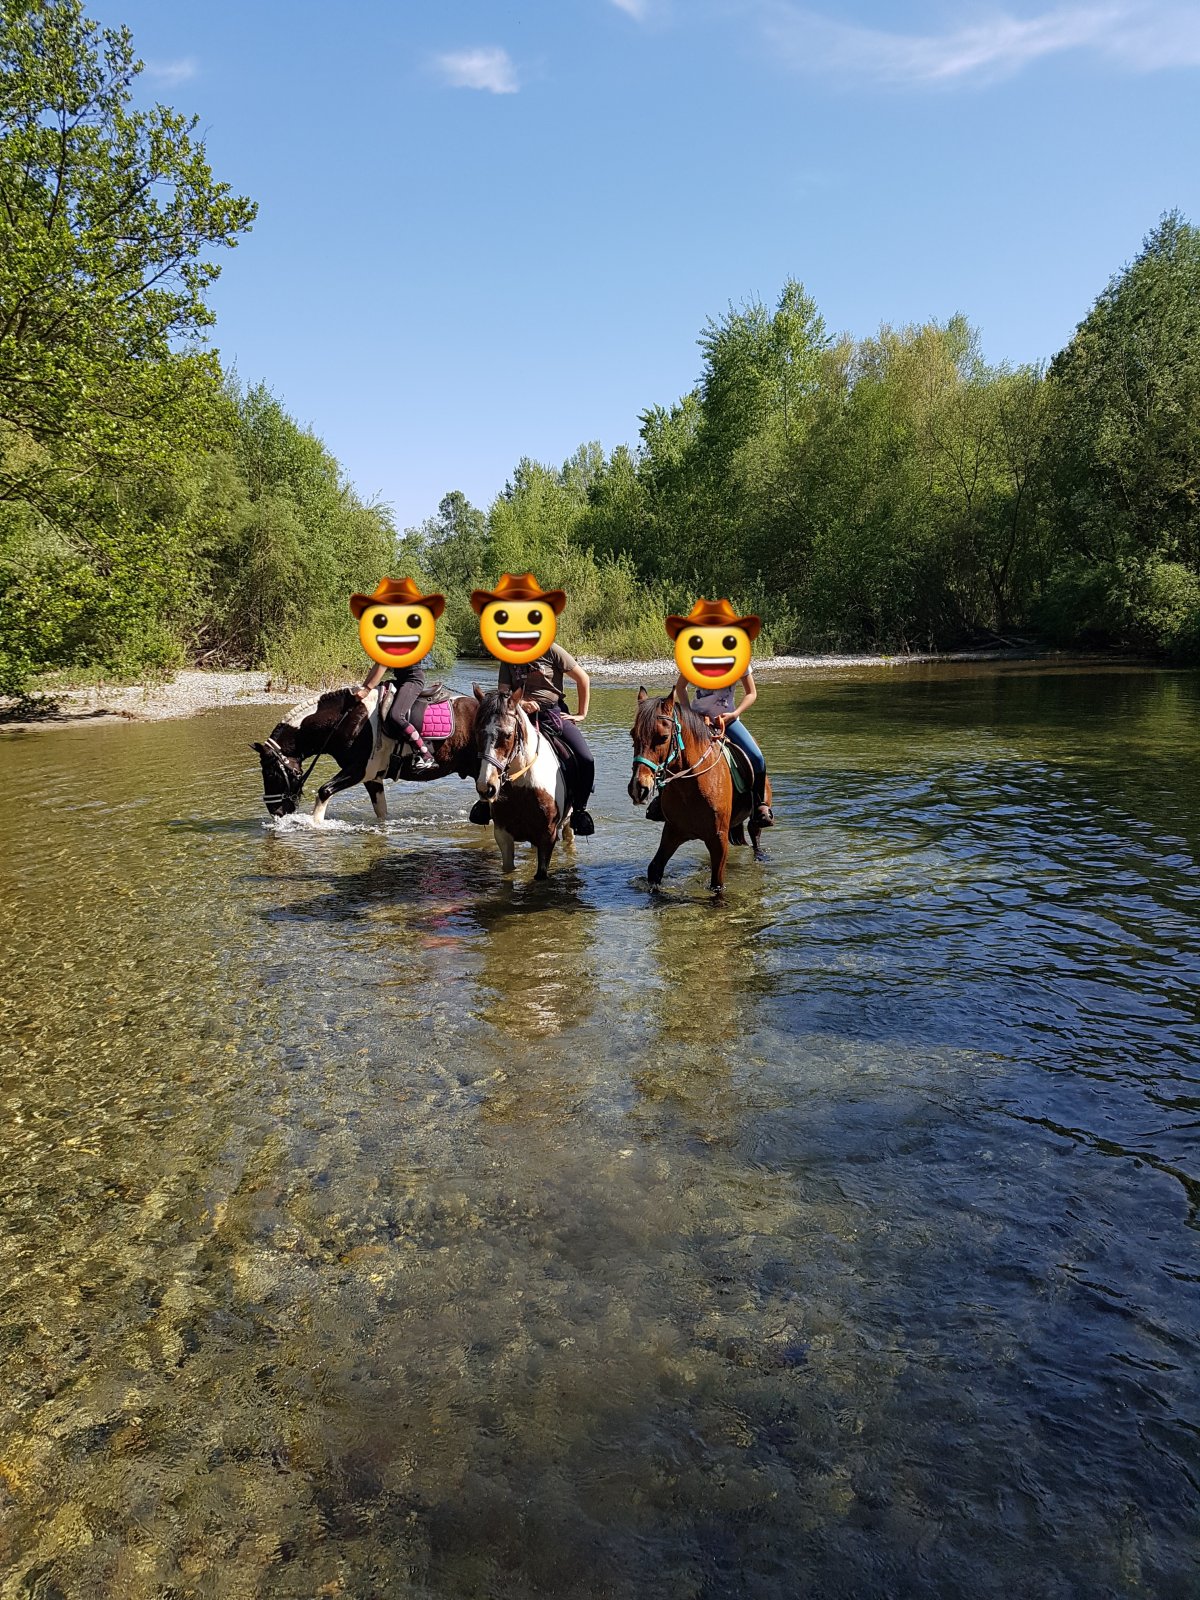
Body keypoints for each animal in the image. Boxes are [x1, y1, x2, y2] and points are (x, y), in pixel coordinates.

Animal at [252, 686, 480, 824]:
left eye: (270, 774)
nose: (275, 812)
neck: (347, 720)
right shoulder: (372, 778)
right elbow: (381, 812)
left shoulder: (358, 770)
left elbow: (324, 791)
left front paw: (315, 825)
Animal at [472, 684, 574, 879]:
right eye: (478, 732)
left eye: (508, 735)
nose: (486, 787)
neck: (523, 787)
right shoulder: (503, 835)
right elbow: (508, 871)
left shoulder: (547, 835)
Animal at [628, 686, 772, 893]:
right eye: (633, 735)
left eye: (663, 737)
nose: (638, 788)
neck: (690, 788)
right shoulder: (672, 831)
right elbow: (654, 869)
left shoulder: (718, 840)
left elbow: (717, 885)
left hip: (757, 814)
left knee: (755, 834)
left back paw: (760, 856)